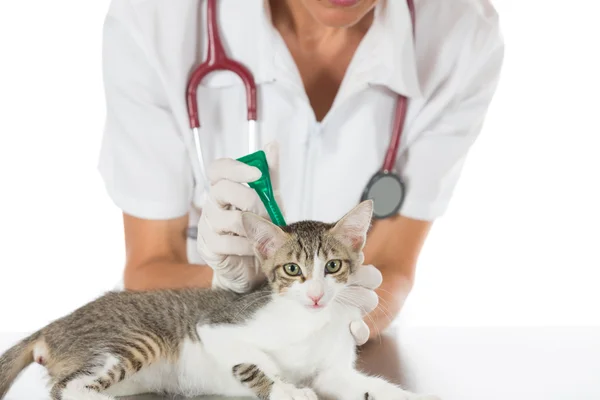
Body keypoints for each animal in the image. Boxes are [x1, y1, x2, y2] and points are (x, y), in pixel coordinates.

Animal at [1, 202, 440, 398]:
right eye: (292, 270)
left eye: (332, 266)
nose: (316, 296)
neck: (310, 323)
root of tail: (55, 324)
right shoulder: (216, 328)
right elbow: (254, 361)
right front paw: (286, 388)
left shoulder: (333, 370)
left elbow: (361, 385)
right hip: (134, 340)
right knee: (68, 388)